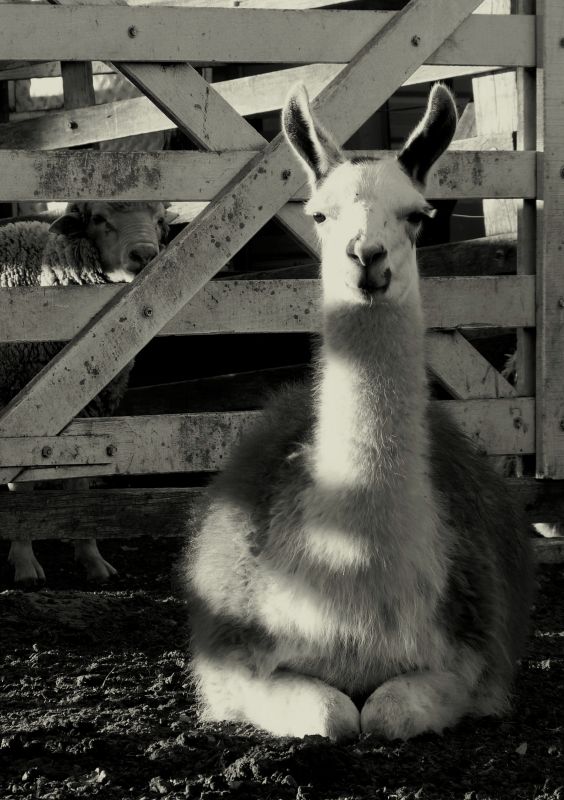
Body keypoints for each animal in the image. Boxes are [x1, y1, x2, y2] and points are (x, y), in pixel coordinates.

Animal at [2, 202, 170, 588]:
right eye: (98, 218)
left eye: (159, 220)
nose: (144, 255)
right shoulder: (28, 416)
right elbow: (24, 490)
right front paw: (24, 563)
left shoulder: (83, 412)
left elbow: (79, 484)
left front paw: (92, 559)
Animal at [181, 84, 532, 740]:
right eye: (320, 214)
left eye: (416, 215)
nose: (366, 256)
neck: (356, 568)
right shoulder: (240, 663)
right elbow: (335, 713)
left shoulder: (470, 661)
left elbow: (385, 712)